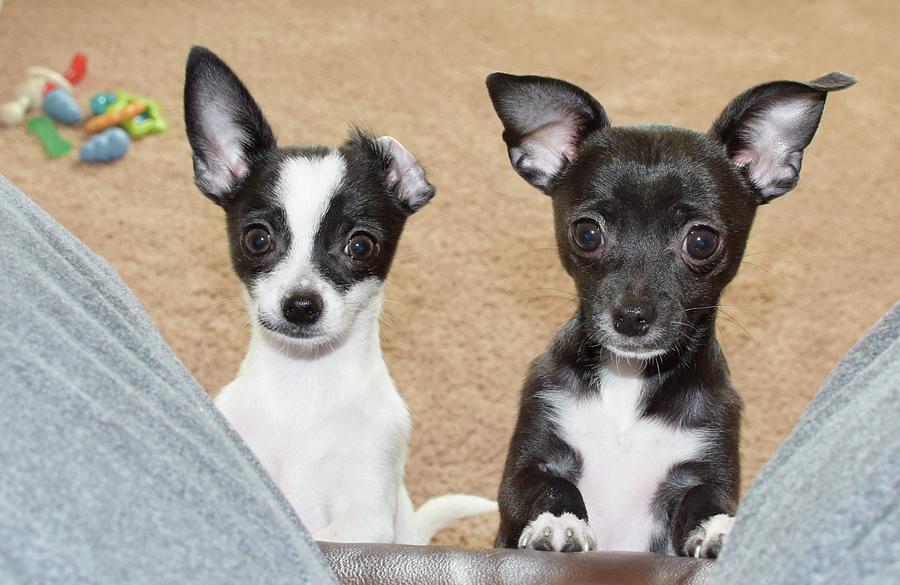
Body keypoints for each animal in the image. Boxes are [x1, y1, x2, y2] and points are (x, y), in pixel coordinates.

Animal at [488, 70, 856, 556]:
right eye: (587, 233)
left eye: (701, 241)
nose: (631, 316)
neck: (629, 381)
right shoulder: (530, 464)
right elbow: (550, 486)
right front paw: (559, 521)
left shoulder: (703, 471)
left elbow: (705, 501)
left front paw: (718, 529)